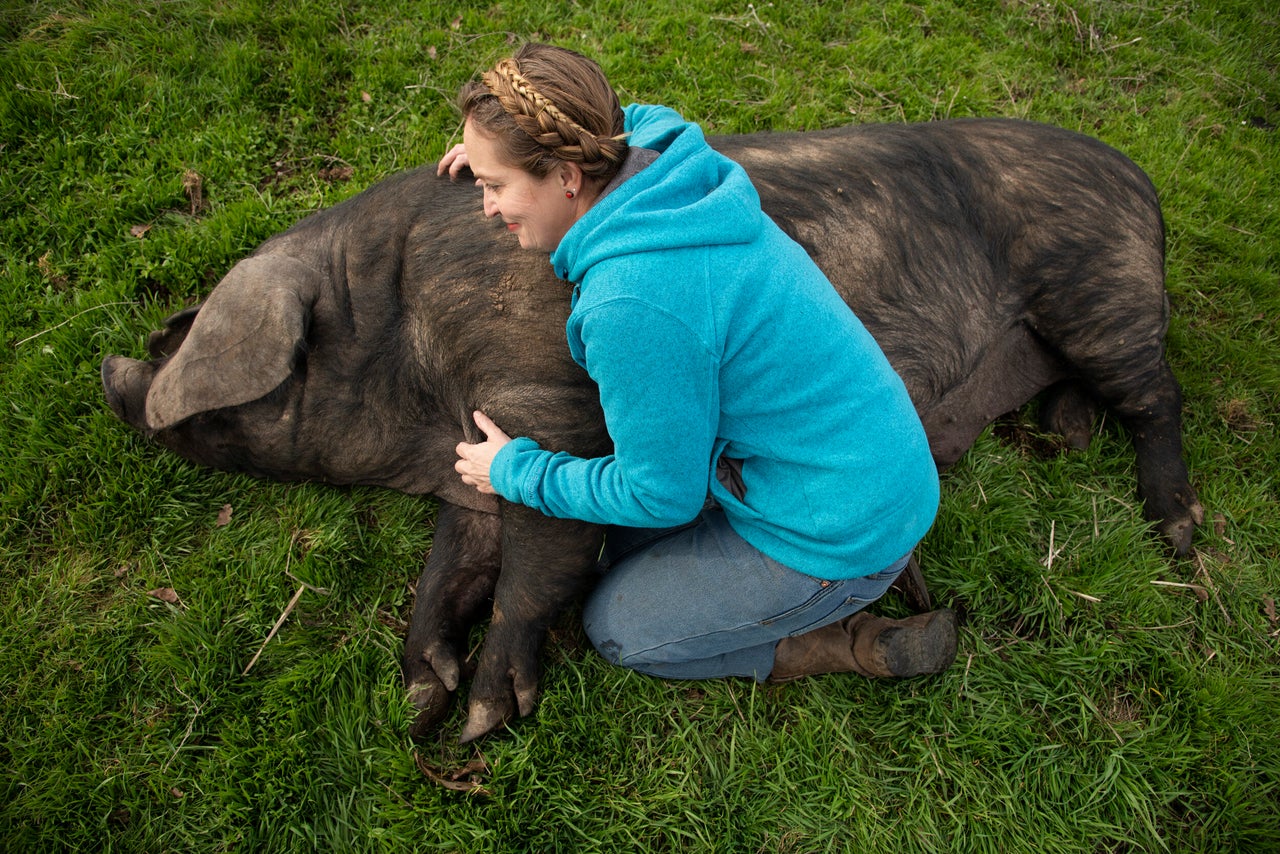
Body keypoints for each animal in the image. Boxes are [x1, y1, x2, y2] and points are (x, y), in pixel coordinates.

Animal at [99, 118, 1198, 742]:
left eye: (190, 338)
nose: (111, 369)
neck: (404, 361)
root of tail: (1144, 180)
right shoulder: (472, 459)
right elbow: (448, 567)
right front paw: (415, 703)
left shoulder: (546, 398)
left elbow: (538, 561)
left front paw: (483, 721)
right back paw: (1058, 442)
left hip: (1094, 283)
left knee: (1159, 396)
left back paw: (1177, 537)